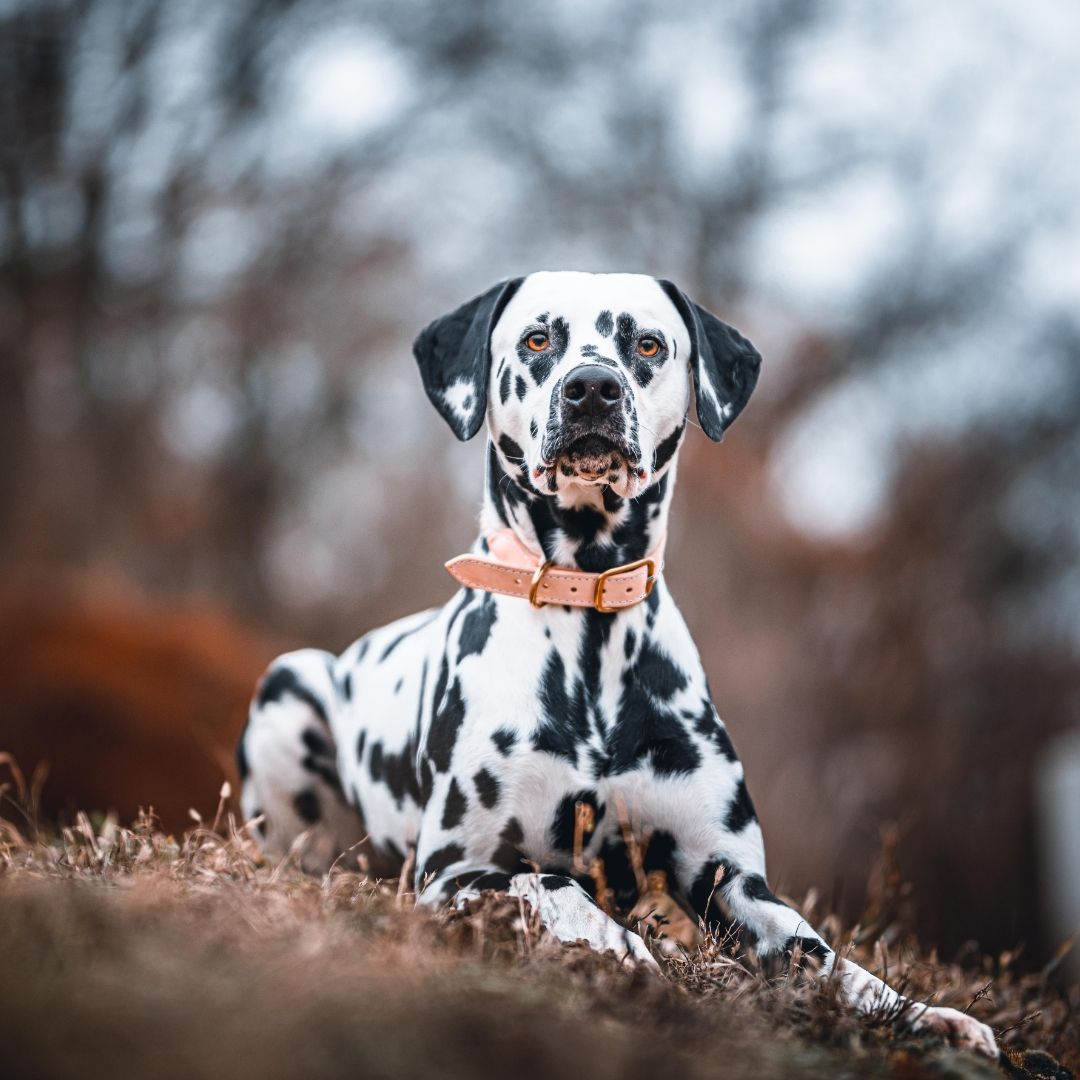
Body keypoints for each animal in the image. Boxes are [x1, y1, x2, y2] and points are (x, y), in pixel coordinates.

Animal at [240, 270, 997, 1054]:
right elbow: (558, 886)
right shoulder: (456, 871)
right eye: (537, 339)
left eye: (648, 344)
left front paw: (925, 1014)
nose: (593, 388)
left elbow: (822, 956)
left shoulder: (730, 879)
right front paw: (627, 954)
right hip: (289, 685)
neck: (589, 619)